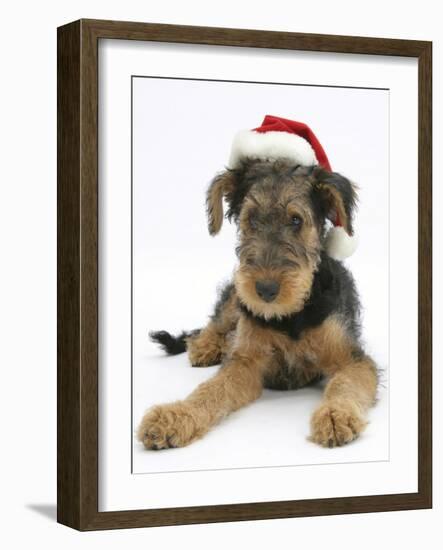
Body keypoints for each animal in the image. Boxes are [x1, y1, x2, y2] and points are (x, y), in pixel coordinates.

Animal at [138, 116, 378, 452]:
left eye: (296, 220)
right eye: (250, 218)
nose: (265, 291)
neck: (291, 316)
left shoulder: (352, 359)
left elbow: (345, 384)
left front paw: (335, 416)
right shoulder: (246, 362)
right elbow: (212, 389)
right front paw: (175, 416)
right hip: (234, 298)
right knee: (215, 322)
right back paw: (206, 346)